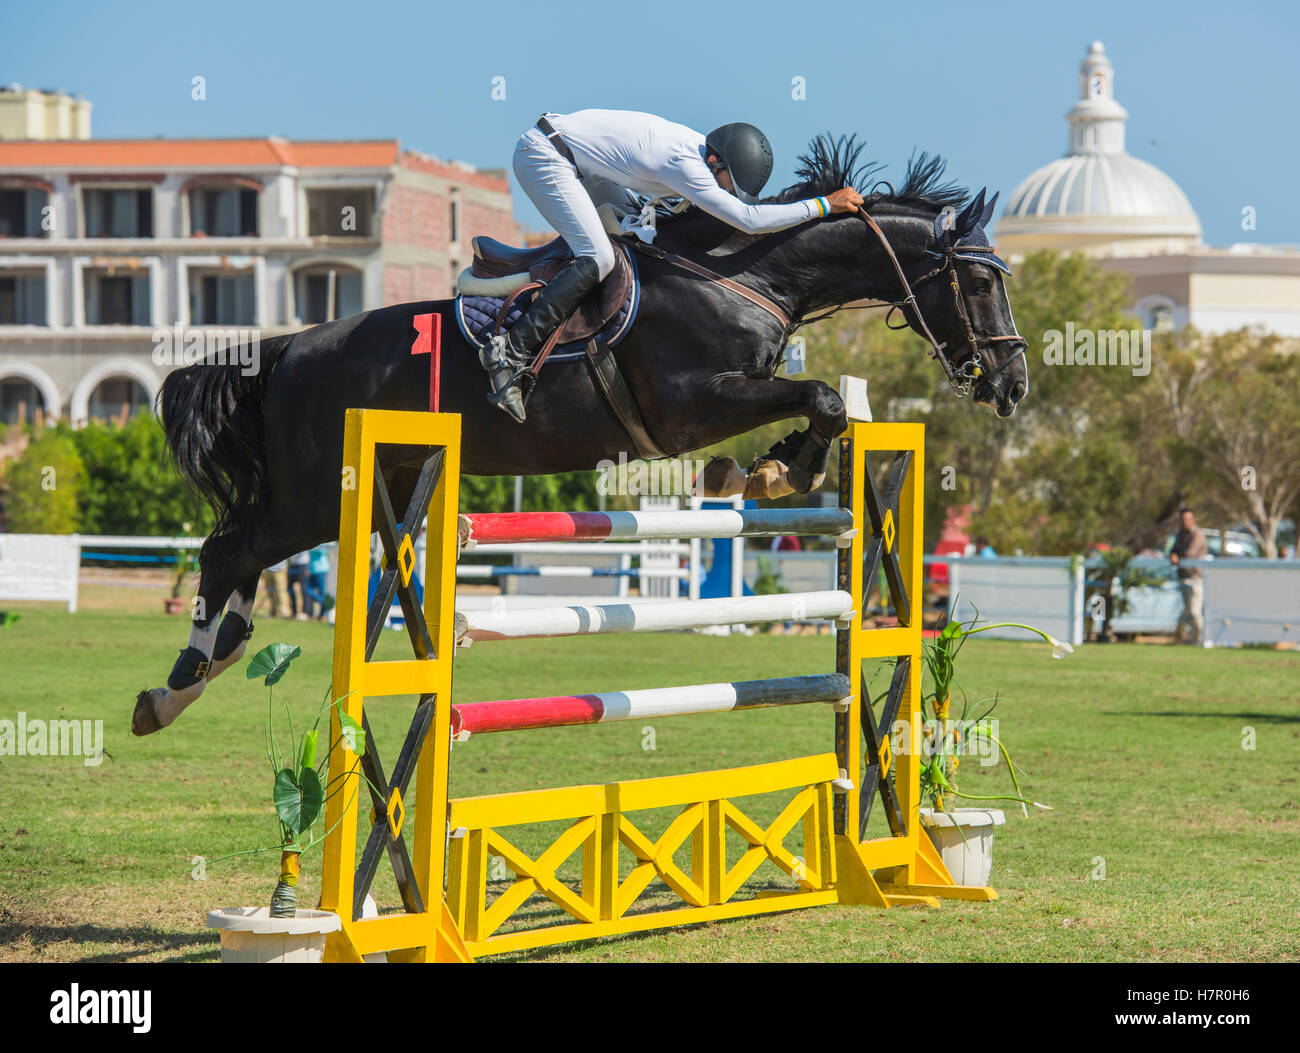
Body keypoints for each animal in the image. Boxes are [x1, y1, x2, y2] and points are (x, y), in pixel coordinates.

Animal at [131, 137, 1024, 728]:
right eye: (980, 282)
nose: (1011, 385)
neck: (743, 272)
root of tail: (289, 348)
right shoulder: (691, 405)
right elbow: (823, 398)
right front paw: (773, 470)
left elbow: (823, 404)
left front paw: (768, 470)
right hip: (321, 491)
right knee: (230, 548)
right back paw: (176, 685)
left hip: (380, 482)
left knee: (242, 552)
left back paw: (217, 655)